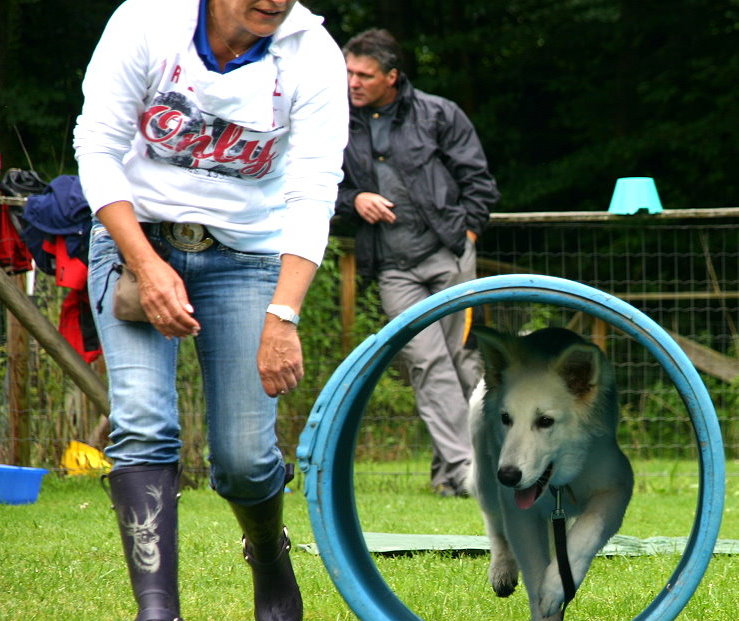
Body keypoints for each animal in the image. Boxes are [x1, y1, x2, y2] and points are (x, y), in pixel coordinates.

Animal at [466, 327, 633, 621]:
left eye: (545, 421)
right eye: (505, 418)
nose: (507, 477)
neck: (557, 486)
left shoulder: (616, 487)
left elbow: (585, 533)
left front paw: (556, 587)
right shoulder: (520, 513)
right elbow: (534, 572)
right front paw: (545, 603)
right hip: (484, 475)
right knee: (494, 522)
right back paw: (502, 569)